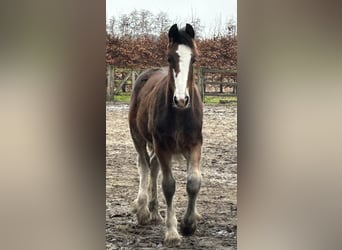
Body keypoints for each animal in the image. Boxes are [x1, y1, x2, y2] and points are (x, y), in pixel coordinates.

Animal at [128, 23, 203, 246]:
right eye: (170, 58)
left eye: (194, 59)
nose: (181, 99)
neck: (179, 113)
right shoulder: (162, 146)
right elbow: (168, 186)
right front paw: (172, 232)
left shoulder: (194, 144)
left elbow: (193, 182)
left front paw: (189, 224)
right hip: (138, 136)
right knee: (145, 166)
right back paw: (144, 211)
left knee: (153, 166)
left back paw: (155, 212)